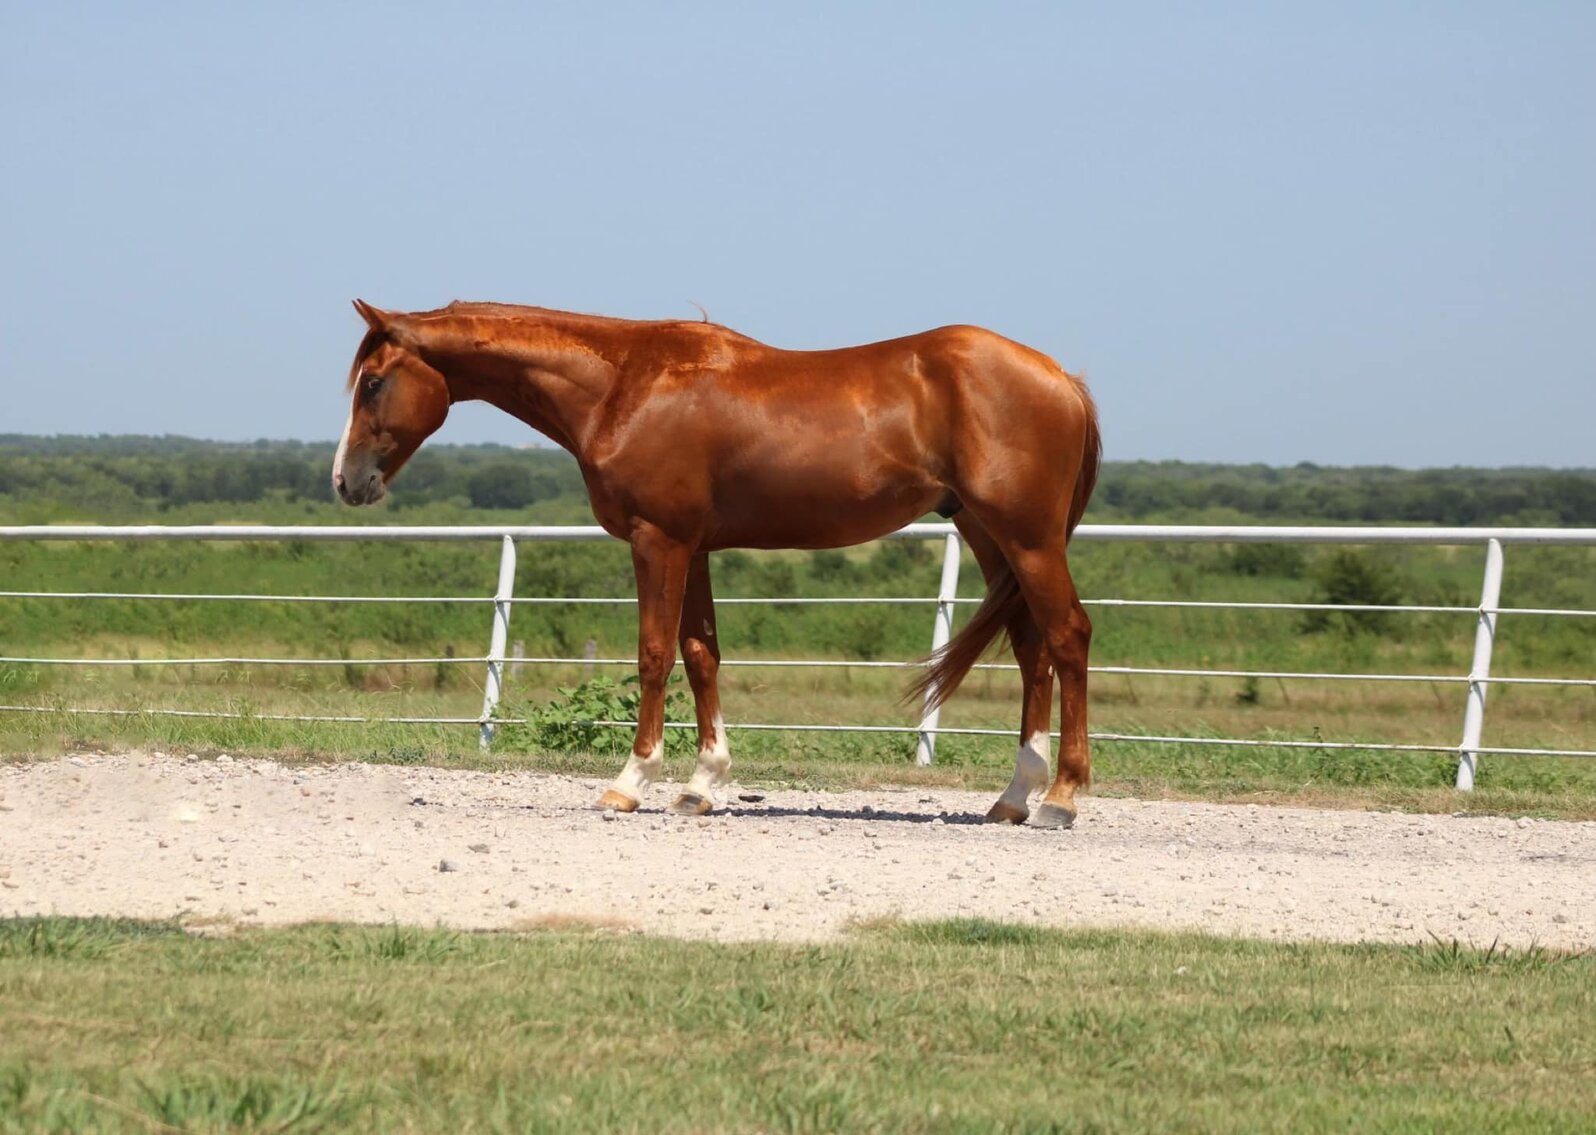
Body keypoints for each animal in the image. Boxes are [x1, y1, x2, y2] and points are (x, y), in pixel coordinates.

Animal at [333, 300, 1101, 828]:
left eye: (373, 382)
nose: (346, 481)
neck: (623, 384)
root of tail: (1063, 378)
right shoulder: (694, 547)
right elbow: (701, 654)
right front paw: (701, 784)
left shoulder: (658, 541)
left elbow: (653, 654)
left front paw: (630, 782)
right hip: (989, 535)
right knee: (1031, 646)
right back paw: (1013, 797)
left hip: (1028, 539)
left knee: (1068, 637)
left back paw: (1061, 798)